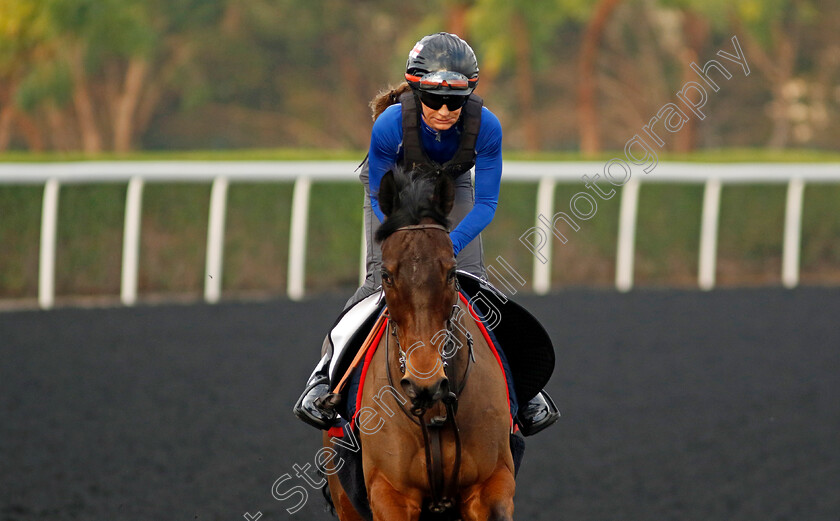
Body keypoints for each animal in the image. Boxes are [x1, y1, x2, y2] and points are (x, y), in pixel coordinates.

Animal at [324, 171, 516, 520]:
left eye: (451, 272)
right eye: (386, 275)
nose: (424, 382)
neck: (434, 411)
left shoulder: (491, 484)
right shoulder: (390, 493)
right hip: (346, 499)